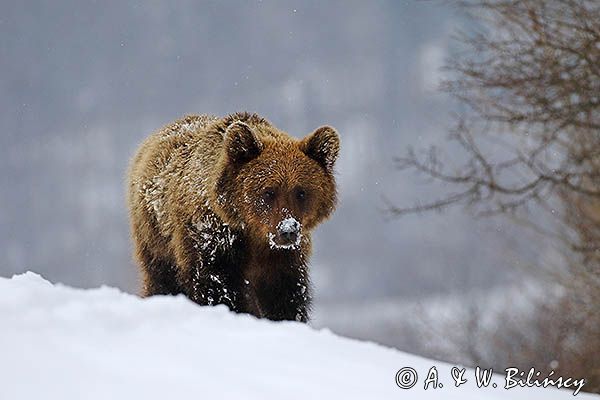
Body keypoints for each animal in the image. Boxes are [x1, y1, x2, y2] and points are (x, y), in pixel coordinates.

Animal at [127, 111, 340, 322]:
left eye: (301, 192)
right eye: (269, 192)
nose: (287, 230)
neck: (253, 232)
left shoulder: (283, 258)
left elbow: (284, 295)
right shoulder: (213, 241)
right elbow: (220, 289)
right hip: (157, 239)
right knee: (162, 279)